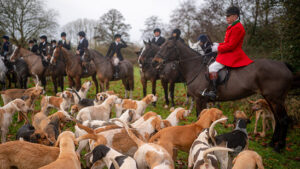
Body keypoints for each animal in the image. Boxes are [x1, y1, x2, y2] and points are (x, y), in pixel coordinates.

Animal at [154, 38, 294, 152]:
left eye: (169, 46)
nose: (156, 62)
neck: (195, 68)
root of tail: (283, 64)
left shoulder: (200, 99)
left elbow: (200, 117)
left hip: (276, 99)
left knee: (283, 119)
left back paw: (279, 147)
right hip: (270, 99)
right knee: (277, 119)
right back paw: (272, 143)